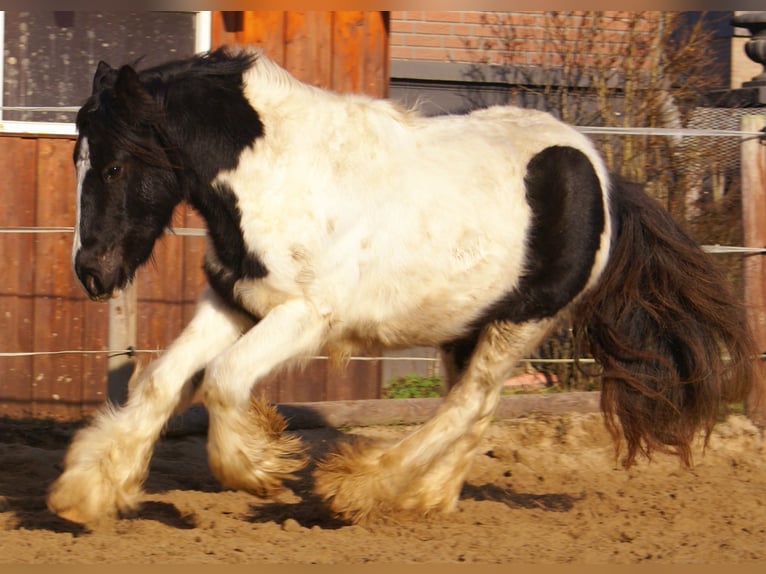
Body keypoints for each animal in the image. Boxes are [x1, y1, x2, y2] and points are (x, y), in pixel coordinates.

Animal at [49, 46, 760, 528]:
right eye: (77, 160)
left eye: (113, 166)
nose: (92, 272)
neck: (275, 175)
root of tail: (606, 178)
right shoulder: (232, 302)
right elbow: (159, 382)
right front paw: (86, 492)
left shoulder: (306, 318)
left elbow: (222, 382)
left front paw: (262, 471)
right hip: (467, 327)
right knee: (475, 412)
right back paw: (425, 498)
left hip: (523, 322)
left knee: (464, 408)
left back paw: (357, 488)